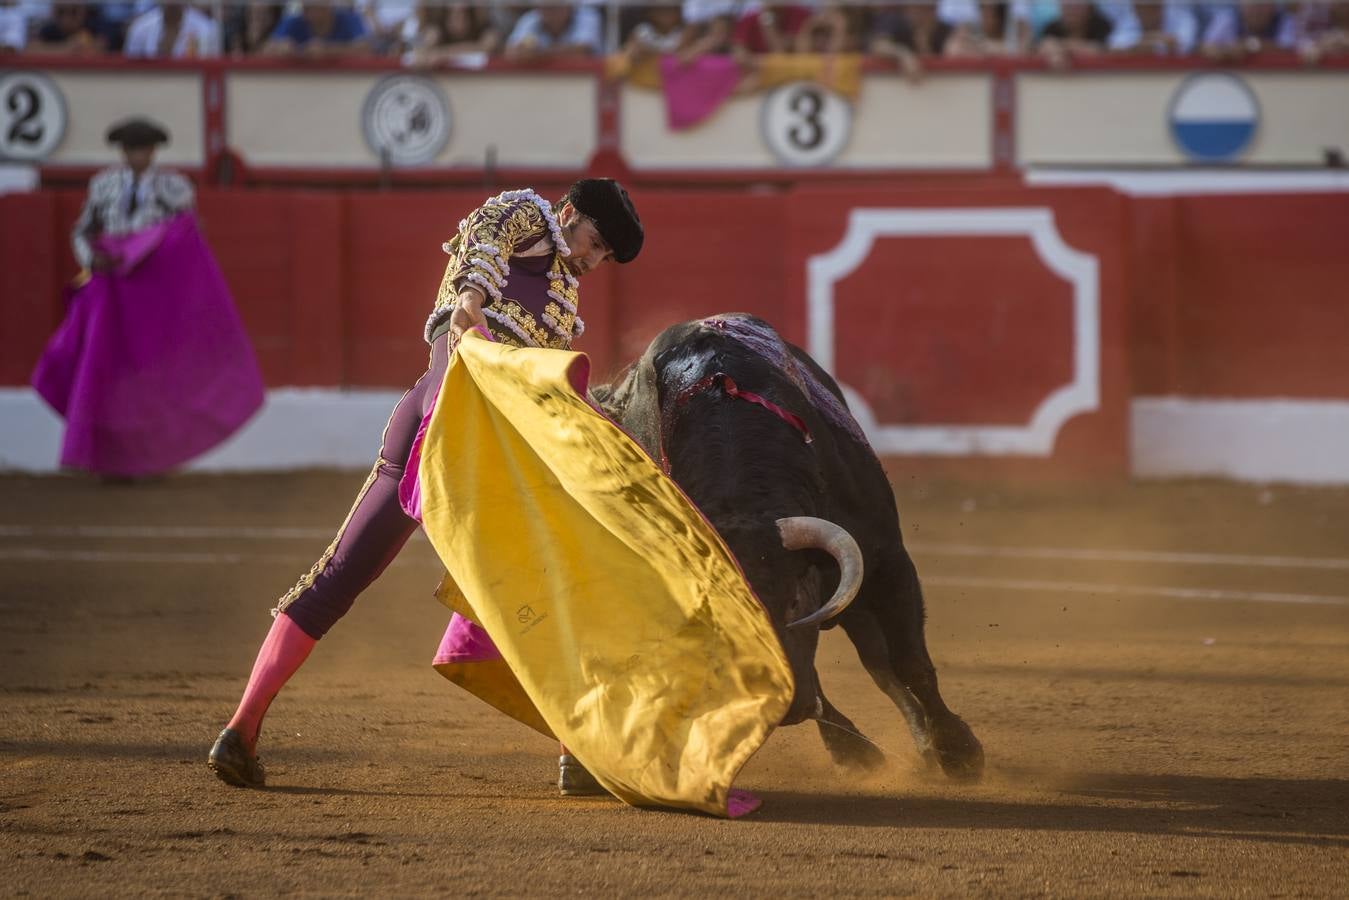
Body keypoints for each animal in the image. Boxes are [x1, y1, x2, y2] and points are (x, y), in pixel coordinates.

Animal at [596, 315, 987, 782]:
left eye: (797, 598)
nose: (786, 705)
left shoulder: (887, 563)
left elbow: (911, 661)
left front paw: (960, 753)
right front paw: (857, 750)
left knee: (881, 664)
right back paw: (858, 750)